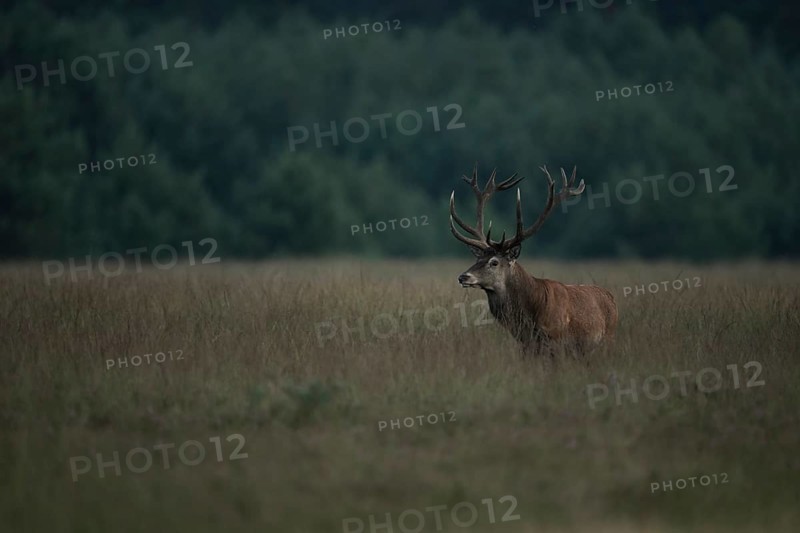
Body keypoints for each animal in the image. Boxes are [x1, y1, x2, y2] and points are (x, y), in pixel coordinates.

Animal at [449, 164, 618, 357]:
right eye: (477, 257)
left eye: (494, 262)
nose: (463, 277)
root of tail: (612, 299)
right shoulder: (526, 345)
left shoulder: (557, 342)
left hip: (607, 340)